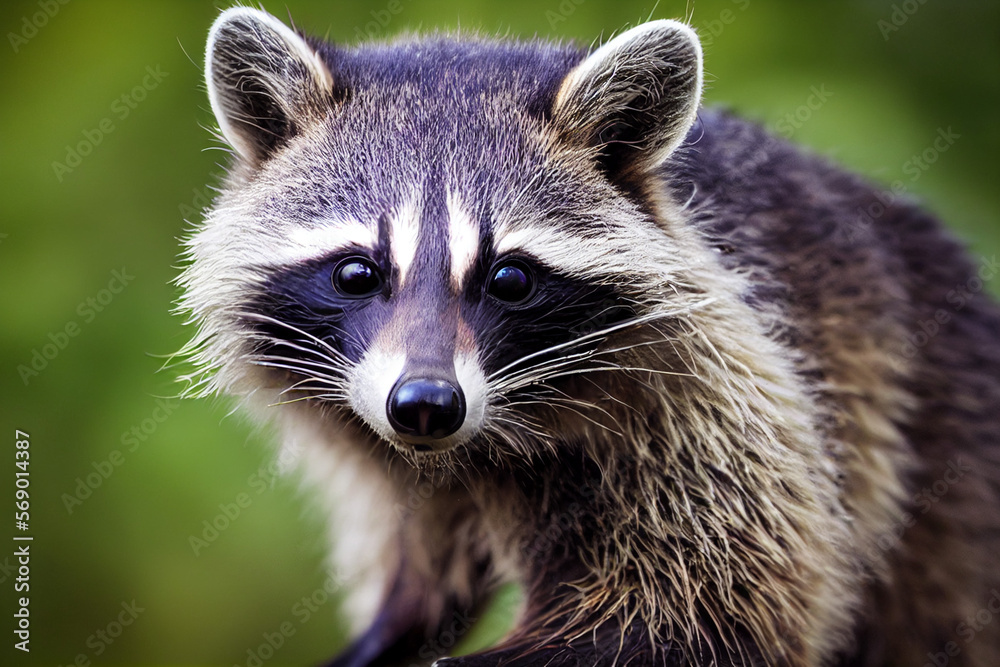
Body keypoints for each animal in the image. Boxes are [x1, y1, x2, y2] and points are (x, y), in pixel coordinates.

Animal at [178, 6, 1000, 667]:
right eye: (357, 271)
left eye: (509, 277)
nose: (425, 404)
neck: (478, 448)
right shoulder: (390, 466)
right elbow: (420, 575)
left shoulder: (721, 402)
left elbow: (719, 609)